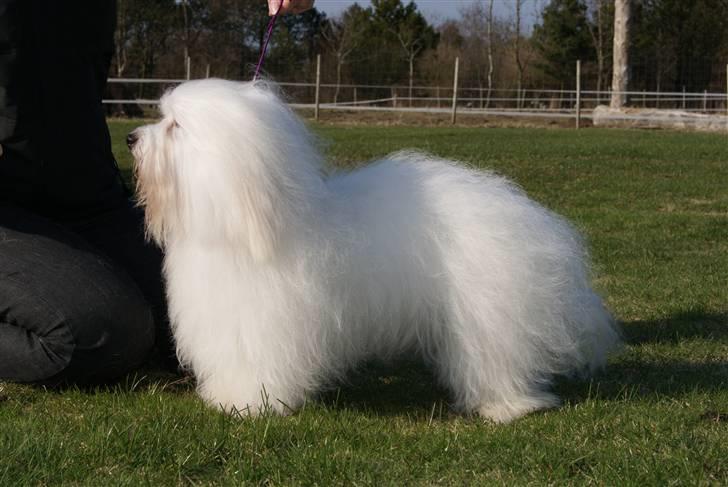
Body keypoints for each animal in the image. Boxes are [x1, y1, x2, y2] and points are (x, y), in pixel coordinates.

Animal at [129, 78, 620, 422]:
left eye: (175, 127)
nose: (132, 138)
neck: (247, 226)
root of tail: (526, 215)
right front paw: (226, 397)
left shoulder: (266, 326)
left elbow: (262, 367)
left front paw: (251, 404)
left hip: (490, 314)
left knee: (498, 361)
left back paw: (508, 407)